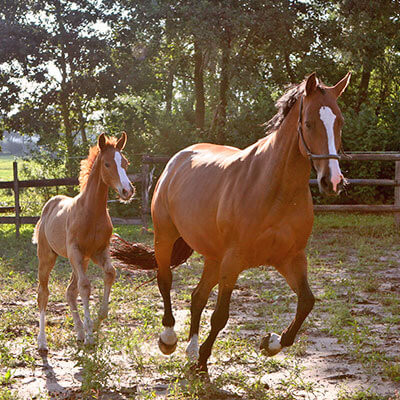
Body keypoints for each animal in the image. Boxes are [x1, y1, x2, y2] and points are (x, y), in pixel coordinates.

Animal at [32, 133, 133, 352]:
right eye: (107, 164)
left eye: (125, 163)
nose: (127, 191)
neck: (91, 213)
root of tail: (49, 206)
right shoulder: (75, 251)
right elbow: (85, 286)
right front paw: (90, 336)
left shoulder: (99, 251)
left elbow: (110, 273)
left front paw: (95, 324)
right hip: (47, 257)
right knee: (43, 293)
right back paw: (42, 342)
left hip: (82, 260)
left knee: (70, 291)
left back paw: (78, 332)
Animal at [112, 72, 350, 372]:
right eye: (308, 123)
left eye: (339, 122)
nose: (332, 181)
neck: (276, 192)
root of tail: (177, 159)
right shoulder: (234, 260)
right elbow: (220, 316)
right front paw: (203, 361)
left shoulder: (291, 257)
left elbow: (306, 302)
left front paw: (270, 343)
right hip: (165, 237)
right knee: (165, 280)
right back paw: (169, 339)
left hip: (214, 258)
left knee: (197, 296)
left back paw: (190, 349)